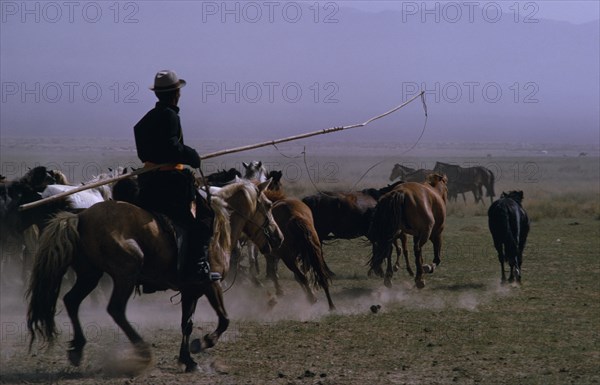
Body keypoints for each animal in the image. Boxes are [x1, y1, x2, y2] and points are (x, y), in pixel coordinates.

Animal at [25, 180, 284, 372]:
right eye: (268, 205)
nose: (278, 237)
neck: (218, 229)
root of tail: (80, 217)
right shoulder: (210, 284)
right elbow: (224, 319)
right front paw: (202, 344)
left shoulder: (190, 289)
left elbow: (186, 323)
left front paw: (187, 360)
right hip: (125, 273)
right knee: (115, 309)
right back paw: (142, 351)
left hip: (90, 274)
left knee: (72, 301)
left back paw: (78, 348)